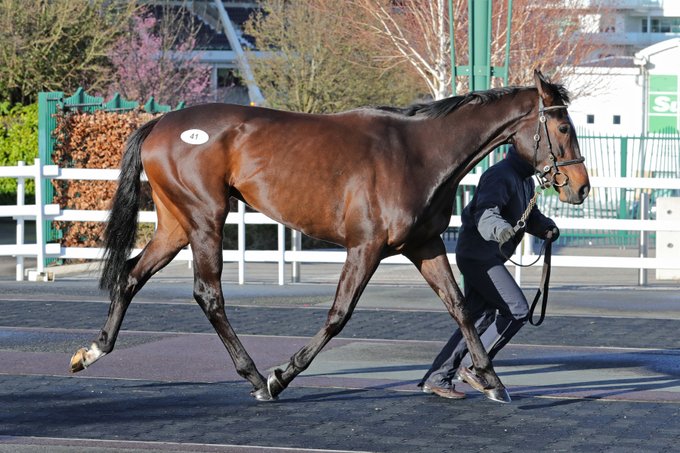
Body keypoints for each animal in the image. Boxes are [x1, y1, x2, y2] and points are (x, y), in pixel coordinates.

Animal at [70, 70, 589, 403]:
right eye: (563, 125)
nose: (581, 187)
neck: (416, 152)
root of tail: (160, 122)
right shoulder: (366, 247)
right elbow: (339, 315)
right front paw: (282, 375)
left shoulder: (424, 246)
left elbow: (459, 307)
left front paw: (492, 380)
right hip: (205, 218)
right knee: (208, 294)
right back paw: (255, 376)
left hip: (177, 224)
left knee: (131, 275)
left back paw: (93, 350)